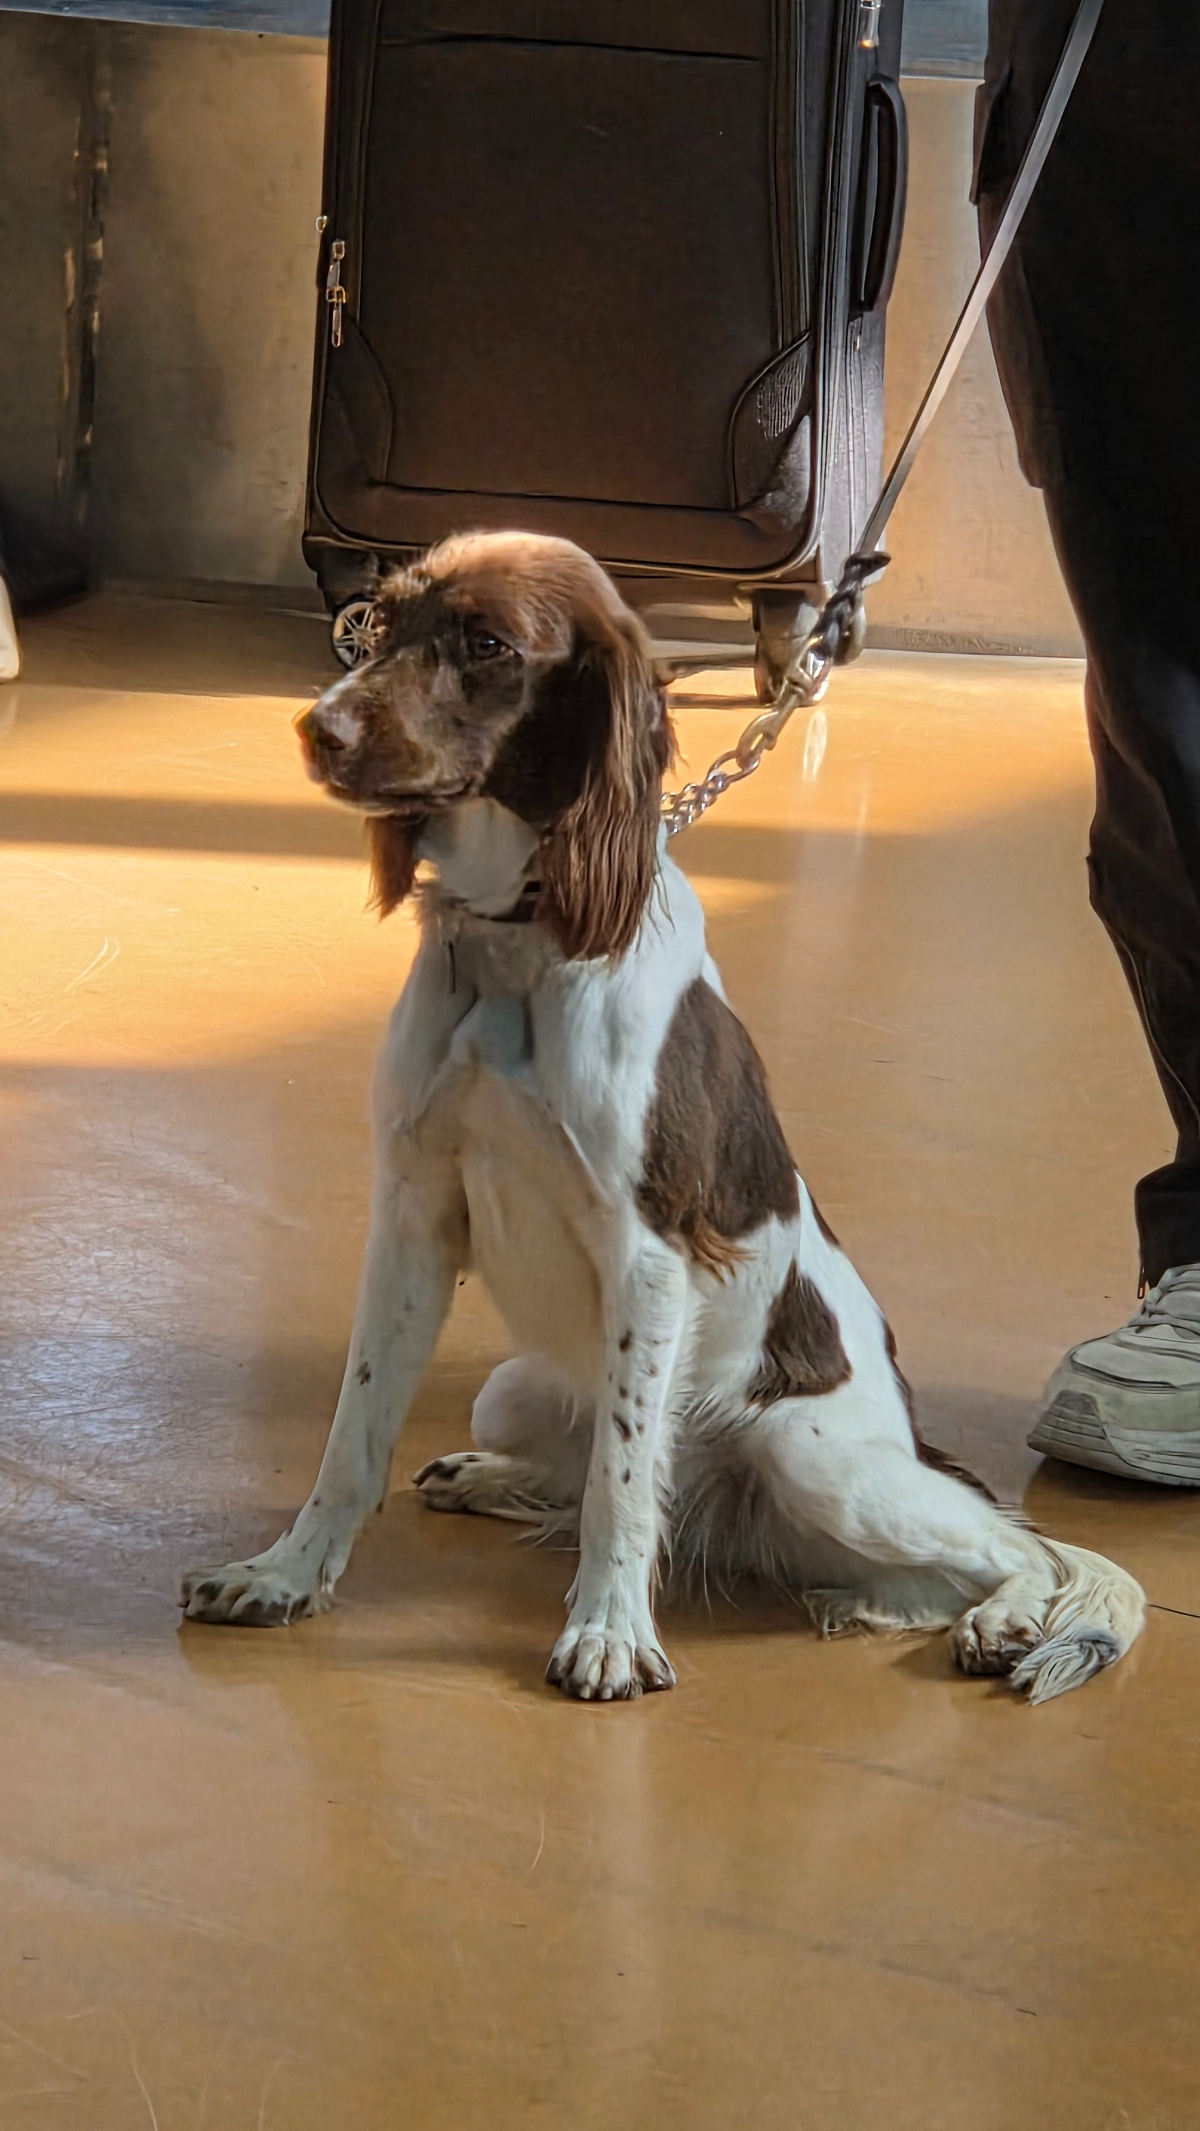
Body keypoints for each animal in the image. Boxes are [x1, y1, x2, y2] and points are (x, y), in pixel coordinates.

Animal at [180, 531, 1145, 1703]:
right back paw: (492, 1476)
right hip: (515, 1387)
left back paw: (1000, 1616)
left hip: (810, 1453)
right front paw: (284, 1575)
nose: (319, 727)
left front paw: (607, 1631)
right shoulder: (412, 1218)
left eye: (488, 644)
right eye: (379, 622)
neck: (520, 941)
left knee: (1014, 1542)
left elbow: (624, 1475)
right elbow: (352, 1434)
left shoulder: (649, 1258)